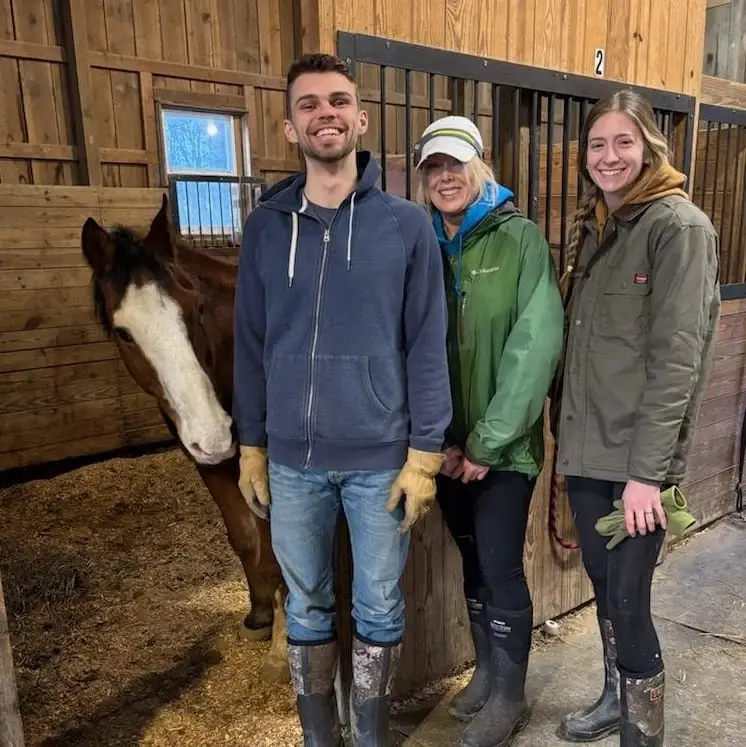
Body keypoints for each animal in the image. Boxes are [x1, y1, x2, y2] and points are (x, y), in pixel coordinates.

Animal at [80, 194, 288, 684]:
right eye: (124, 333)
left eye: (194, 309)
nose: (215, 433)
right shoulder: (207, 463)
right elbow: (244, 538)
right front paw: (259, 616)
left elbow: (276, 547)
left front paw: (282, 649)